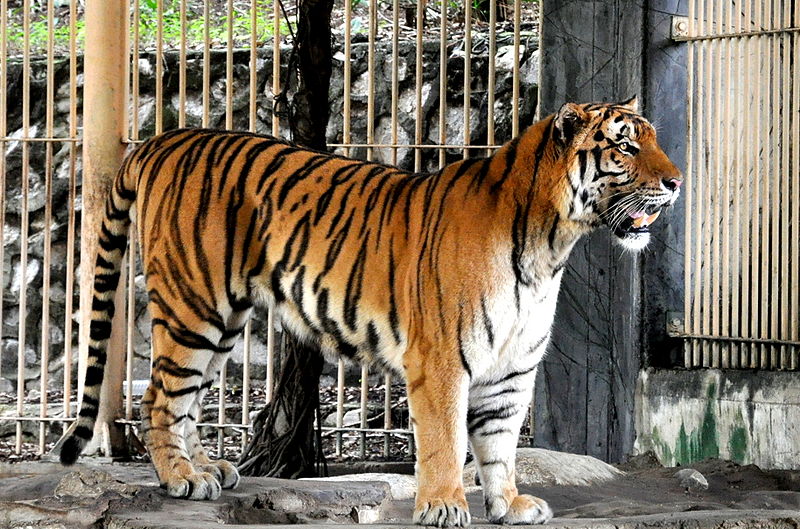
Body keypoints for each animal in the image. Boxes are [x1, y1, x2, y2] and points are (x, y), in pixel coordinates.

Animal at [60, 98, 681, 527]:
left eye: (653, 141)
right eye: (626, 148)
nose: (676, 182)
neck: (552, 245)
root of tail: (162, 139)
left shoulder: (511, 369)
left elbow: (501, 446)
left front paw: (508, 505)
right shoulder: (441, 360)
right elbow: (445, 441)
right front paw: (444, 507)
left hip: (222, 320)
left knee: (186, 399)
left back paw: (206, 469)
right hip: (195, 307)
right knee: (158, 397)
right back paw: (180, 480)